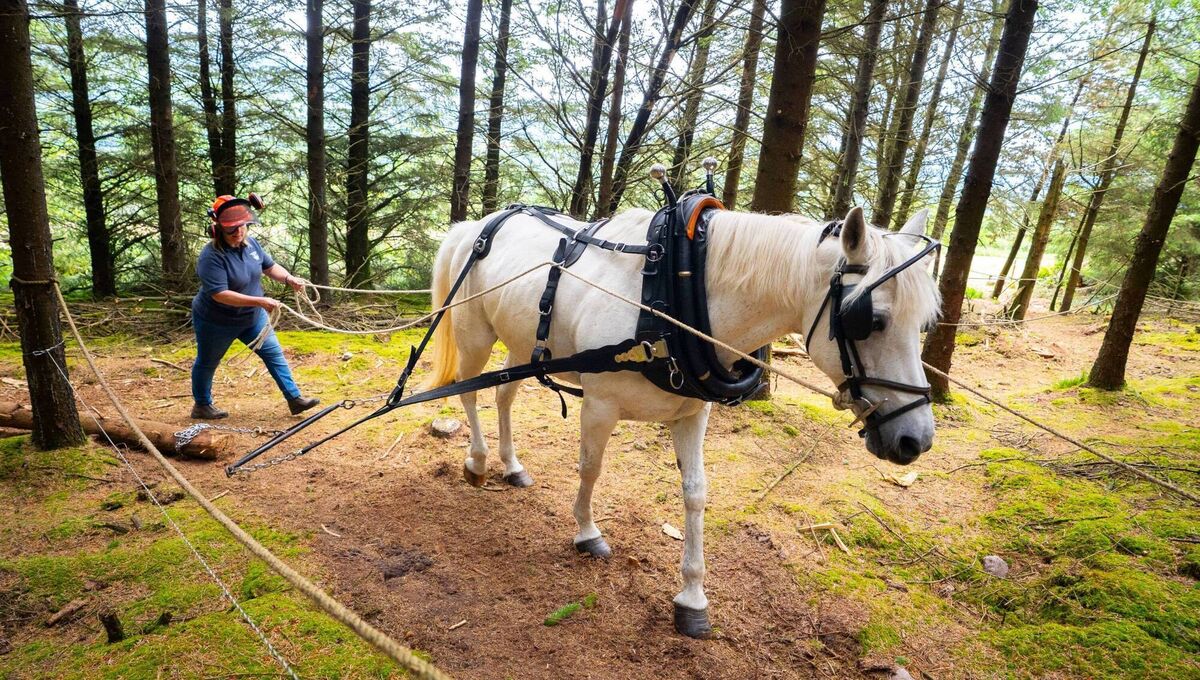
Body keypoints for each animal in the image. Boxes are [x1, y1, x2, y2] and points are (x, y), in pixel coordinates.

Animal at [426, 204, 941, 637]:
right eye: (870, 320)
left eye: (925, 323)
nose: (915, 439)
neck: (670, 293)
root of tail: (476, 226)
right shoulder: (599, 405)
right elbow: (590, 469)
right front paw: (587, 532)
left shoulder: (694, 413)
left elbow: (696, 494)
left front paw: (692, 598)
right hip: (475, 334)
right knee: (469, 391)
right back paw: (478, 462)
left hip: (519, 346)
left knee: (504, 393)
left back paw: (512, 465)